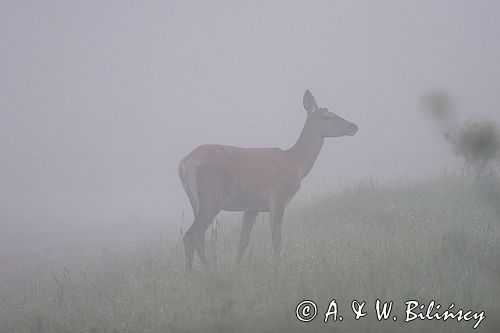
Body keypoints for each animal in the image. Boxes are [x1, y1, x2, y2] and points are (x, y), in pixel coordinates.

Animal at [178, 90, 358, 270]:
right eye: (328, 116)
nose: (354, 126)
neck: (295, 163)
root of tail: (184, 162)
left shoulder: (252, 207)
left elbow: (243, 242)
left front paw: (236, 269)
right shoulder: (278, 198)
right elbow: (277, 241)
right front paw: (277, 270)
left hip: (195, 202)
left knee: (199, 237)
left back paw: (208, 270)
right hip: (212, 198)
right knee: (191, 235)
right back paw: (195, 273)